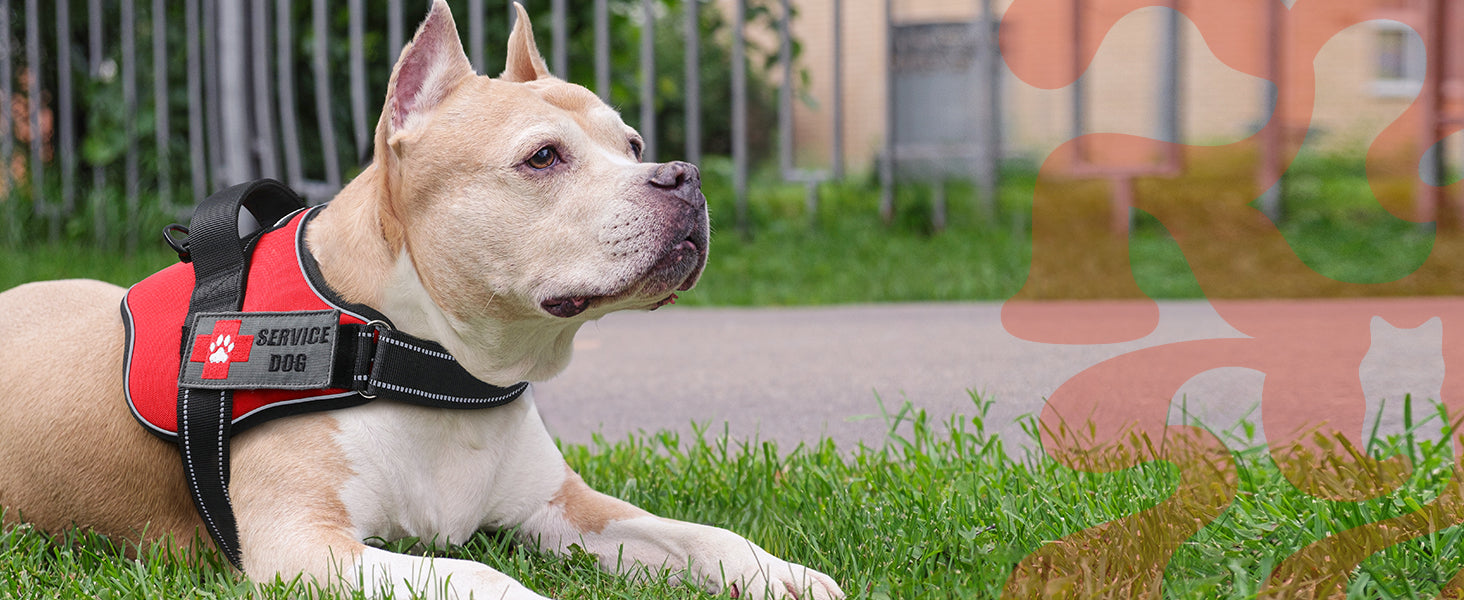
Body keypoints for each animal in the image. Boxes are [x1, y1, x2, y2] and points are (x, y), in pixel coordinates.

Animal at [0, 2, 849, 597]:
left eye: (634, 145)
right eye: (544, 157)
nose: (682, 175)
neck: (421, 355)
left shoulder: (565, 509)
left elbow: (699, 535)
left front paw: (781, 574)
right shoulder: (306, 545)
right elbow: (479, 578)